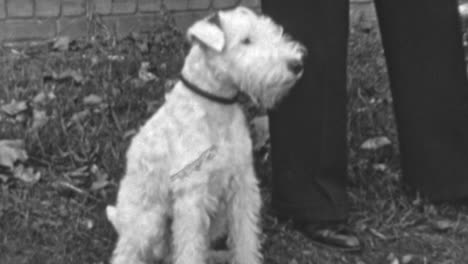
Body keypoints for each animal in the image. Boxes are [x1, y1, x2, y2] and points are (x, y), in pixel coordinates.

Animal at [106, 6, 306, 264]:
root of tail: (119, 218)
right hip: (148, 222)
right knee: (130, 252)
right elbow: (190, 249)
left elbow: (245, 239)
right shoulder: (192, 196)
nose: (296, 64)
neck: (215, 110)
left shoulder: (242, 186)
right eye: (246, 40)